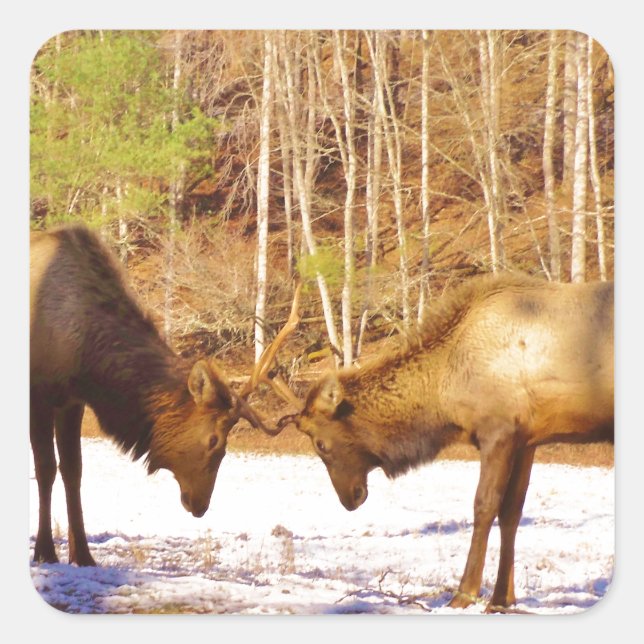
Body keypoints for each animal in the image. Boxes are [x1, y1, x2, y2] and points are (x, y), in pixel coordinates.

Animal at [30, 223, 300, 567]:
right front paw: (45, 551)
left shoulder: (72, 400)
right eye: (215, 441)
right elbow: (46, 468)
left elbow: (73, 470)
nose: (200, 505)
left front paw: (83, 556)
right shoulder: (38, 392)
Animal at [274, 273, 614, 612]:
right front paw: (502, 598)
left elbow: (484, 506)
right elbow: (512, 512)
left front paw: (465, 593)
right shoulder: (527, 439)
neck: (445, 391)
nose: (349, 498)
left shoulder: (498, 431)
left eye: (320, 444)